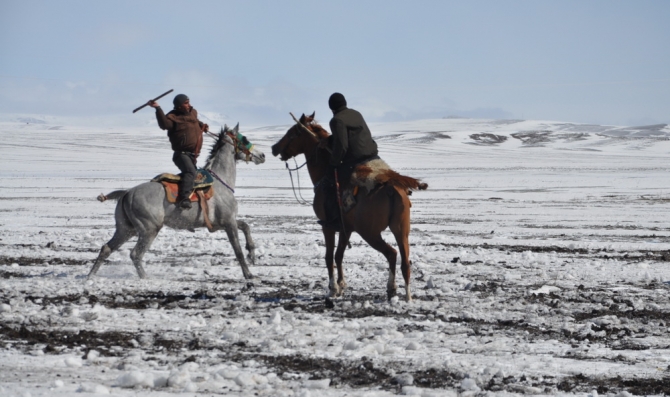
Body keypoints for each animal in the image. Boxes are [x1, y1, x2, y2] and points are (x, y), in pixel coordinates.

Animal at [88, 124, 266, 278]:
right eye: (244, 139)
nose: (262, 155)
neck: (220, 182)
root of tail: (127, 193)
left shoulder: (223, 222)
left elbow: (246, 226)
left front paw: (252, 253)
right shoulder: (228, 222)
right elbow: (237, 250)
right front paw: (249, 274)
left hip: (126, 229)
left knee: (106, 249)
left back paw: (89, 277)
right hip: (148, 230)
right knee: (135, 254)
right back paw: (145, 278)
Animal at [272, 112, 426, 300]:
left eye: (292, 133)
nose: (274, 148)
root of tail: (391, 187)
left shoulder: (328, 226)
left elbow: (329, 257)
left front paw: (333, 288)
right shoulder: (347, 229)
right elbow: (339, 255)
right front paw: (341, 285)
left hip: (370, 232)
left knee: (391, 253)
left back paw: (392, 288)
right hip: (401, 231)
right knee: (404, 262)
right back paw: (404, 294)